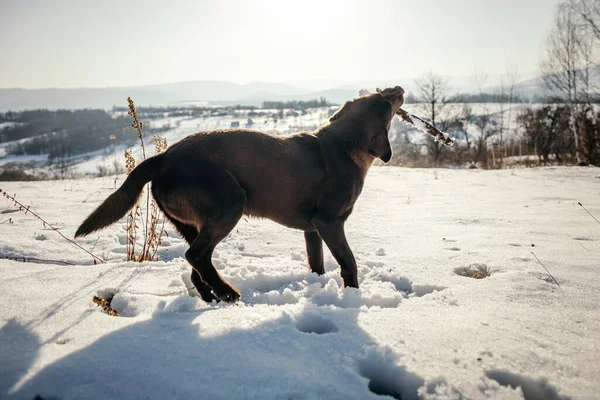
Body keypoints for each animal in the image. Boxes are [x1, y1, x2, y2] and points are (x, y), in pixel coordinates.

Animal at [75, 85, 404, 304]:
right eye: (386, 101)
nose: (399, 87)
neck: (345, 144)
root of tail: (163, 158)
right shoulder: (329, 223)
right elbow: (349, 262)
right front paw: (353, 296)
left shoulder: (312, 230)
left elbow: (317, 265)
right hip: (230, 203)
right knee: (196, 256)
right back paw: (228, 293)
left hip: (192, 223)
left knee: (196, 266)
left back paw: (213, 297)